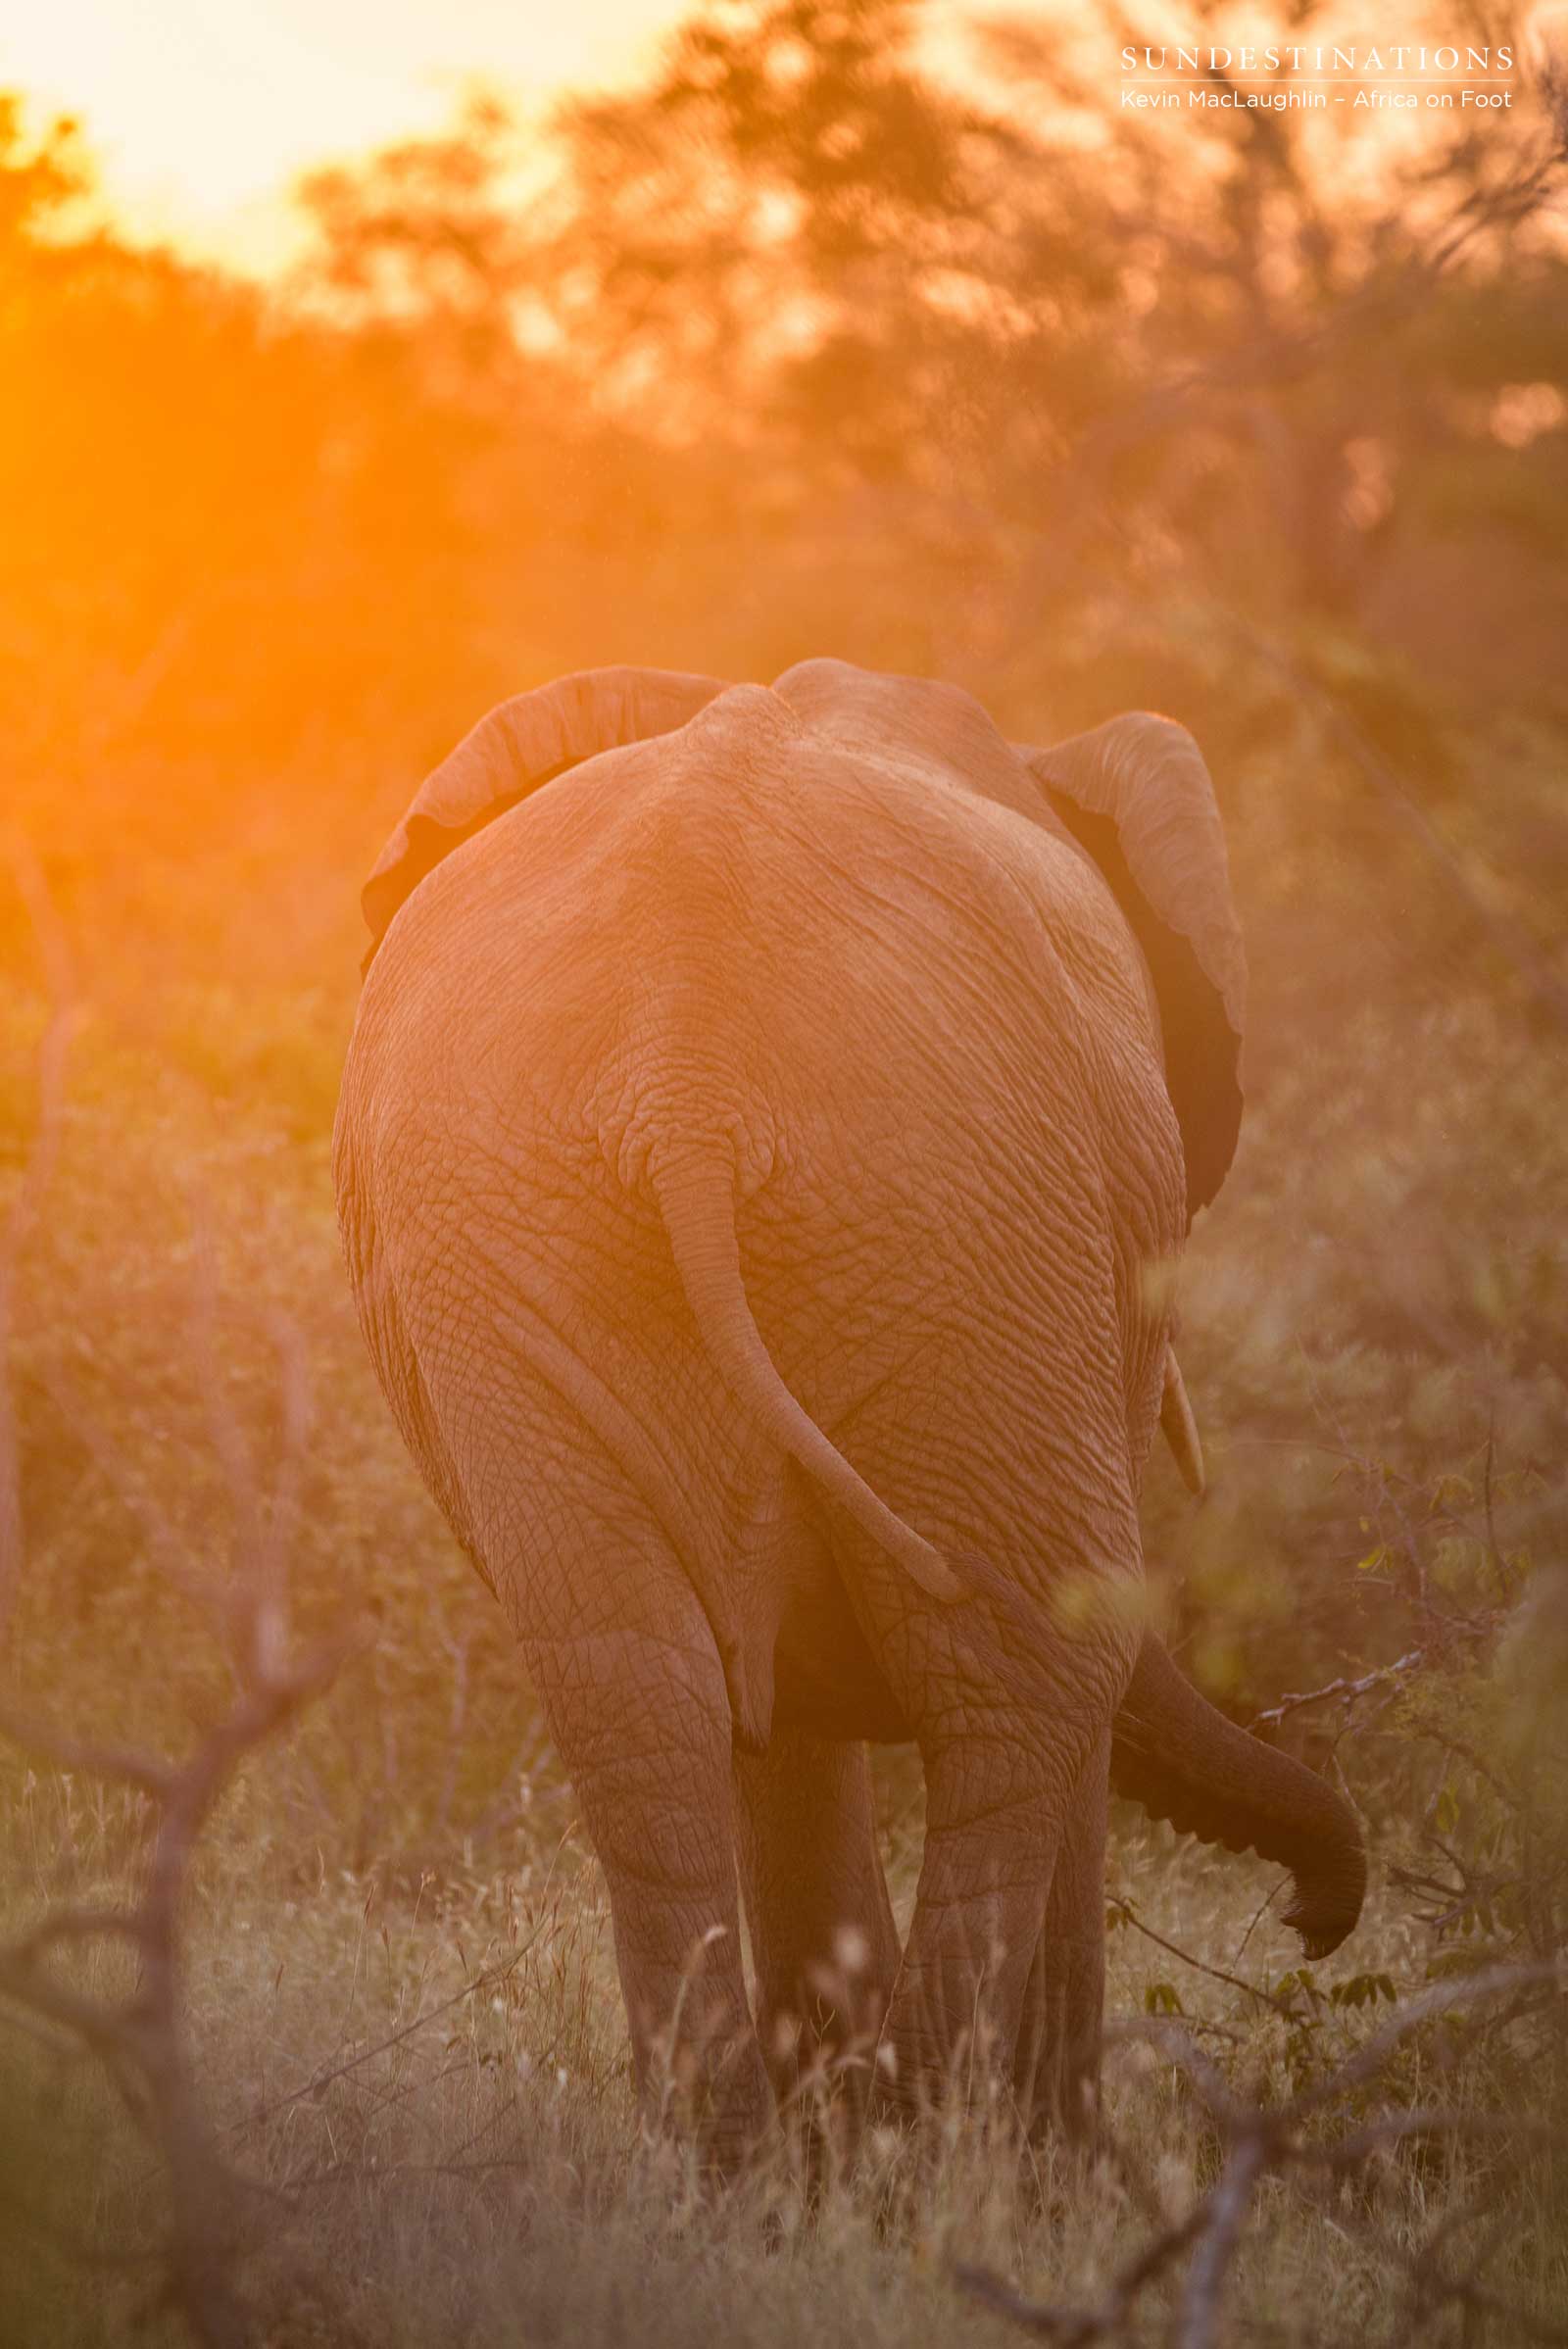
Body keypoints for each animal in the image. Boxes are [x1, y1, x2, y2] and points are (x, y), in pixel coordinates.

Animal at [333, 658, 1361, 2161]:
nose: (1312, 1922)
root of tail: (683, 1068)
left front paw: (823, 2150)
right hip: (972, 1222)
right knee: (1029, 1667)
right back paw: (945, 2157)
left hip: (512, 1244)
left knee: (635, 1683)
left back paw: (732, 2163)